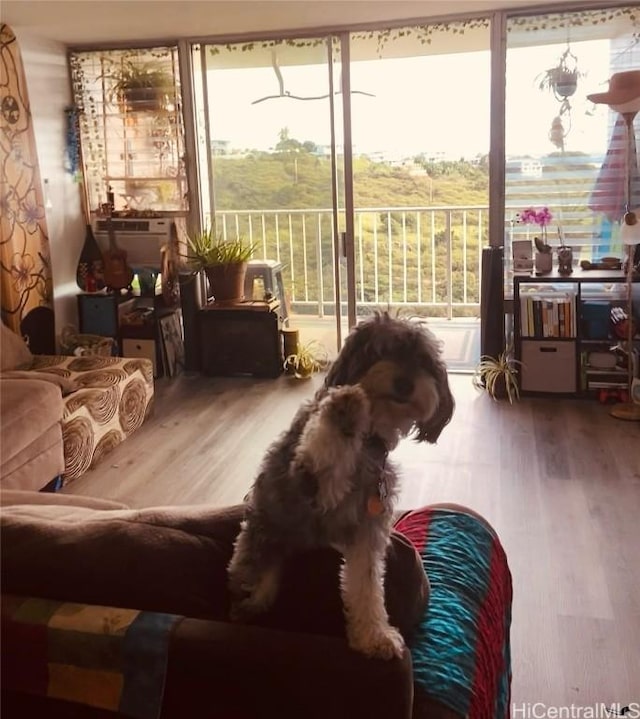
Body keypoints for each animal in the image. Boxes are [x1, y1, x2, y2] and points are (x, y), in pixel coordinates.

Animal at [228, 312, 452, 660]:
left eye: (423, 361)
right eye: (381, 351)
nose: (405, 383)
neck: (369, 442)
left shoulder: (367, 532)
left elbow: (366, 585)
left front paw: (374, 635)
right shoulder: (306, 482)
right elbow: (323, 450)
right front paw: (345, 407)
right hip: (259, 547)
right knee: (252, 590)